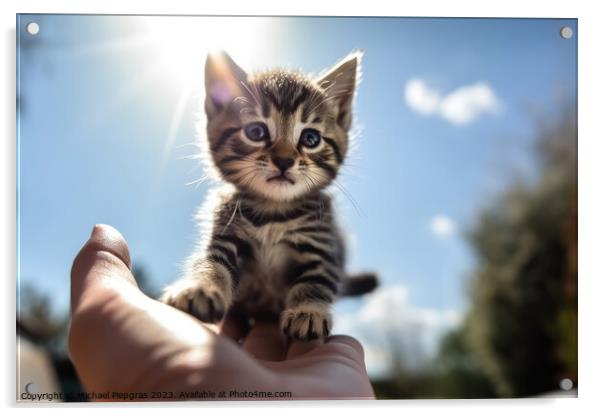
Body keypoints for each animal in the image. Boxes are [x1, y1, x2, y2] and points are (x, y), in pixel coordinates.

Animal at [159, 50, 376, 342]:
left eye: (310, 138)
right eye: (256, 132)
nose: (284, 161)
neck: (273, 210)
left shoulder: (321, 243)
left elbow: (317, 279)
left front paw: (309, 311)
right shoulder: (225, 232)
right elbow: (211, 262)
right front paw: (201, 288)